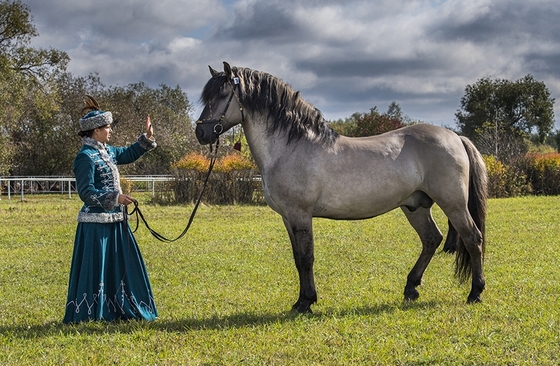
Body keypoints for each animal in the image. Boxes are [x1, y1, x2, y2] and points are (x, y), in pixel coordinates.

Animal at [195, 61, 488, 314]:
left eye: (223, 94)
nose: (201, 133)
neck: (290, 147)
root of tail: (455, 137)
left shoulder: (300, 215)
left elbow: (306, 258)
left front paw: (306, 302)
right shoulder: (288, 218)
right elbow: (297, 259)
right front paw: (301, 301)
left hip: (453, 204)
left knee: (472, 238)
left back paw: (475, 292)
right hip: (415, 206)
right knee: (431, 239)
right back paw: (411, 288)